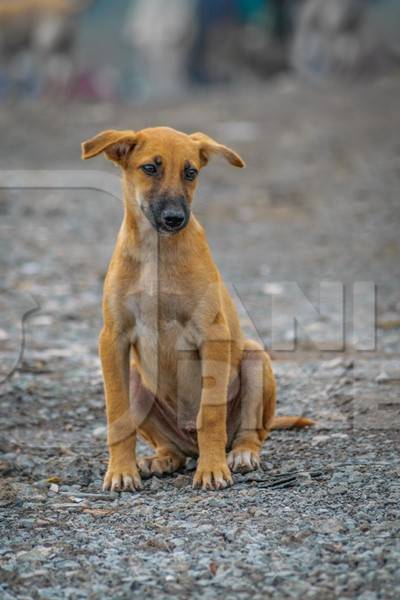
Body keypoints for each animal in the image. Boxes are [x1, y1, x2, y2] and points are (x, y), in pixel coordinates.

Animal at [82, 127, 312, 492]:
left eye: (190, 172)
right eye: (150, 168)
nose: (175, 219)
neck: (157, 251)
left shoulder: (211, 335)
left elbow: (211, 414)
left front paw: (213, 469)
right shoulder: (113, 338)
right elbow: (118, 417)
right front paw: (120, 471)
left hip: (254, 359)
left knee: (250, 433)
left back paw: (240, 455)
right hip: (137, 379)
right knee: (171, 448)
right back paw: (160, 459)